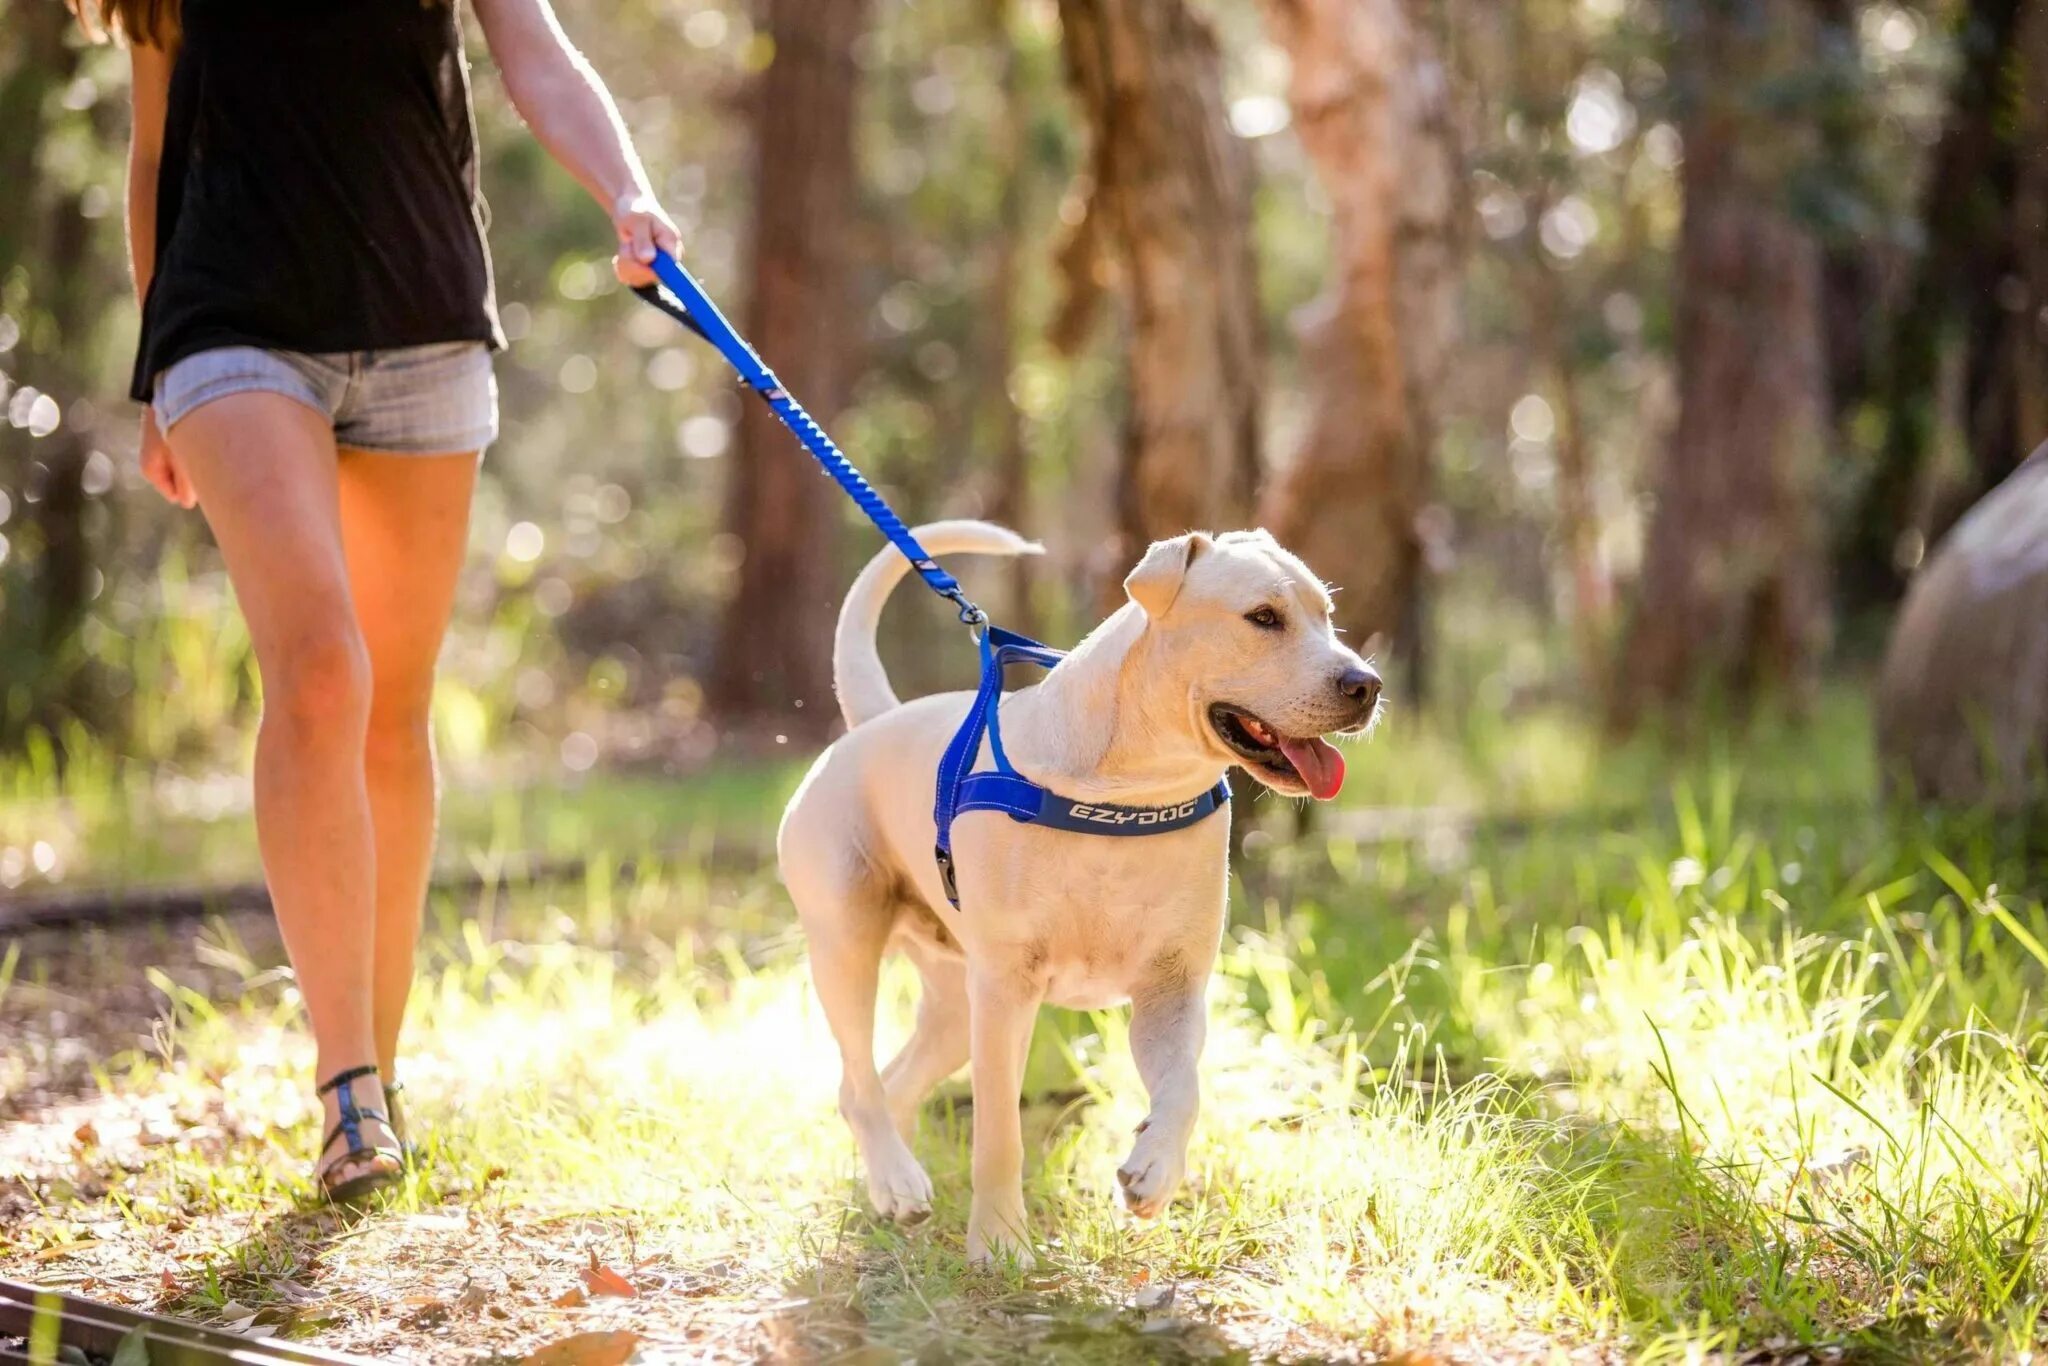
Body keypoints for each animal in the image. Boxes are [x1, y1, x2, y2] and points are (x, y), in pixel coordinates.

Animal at [774, 520, 1384, 1261]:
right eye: (1263, 617)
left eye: (1327, 613)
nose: (1367, 685)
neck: (1130, 793)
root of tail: (871, 724)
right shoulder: (1005, 991)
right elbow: (999, 1133)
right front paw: (999, 1245)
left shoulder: (1172, 990)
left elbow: (1185, 1089)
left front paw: (1153, 1172)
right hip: (848, 945)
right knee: (857, 1078)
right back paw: (896, 1179)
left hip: (951, 1002)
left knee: (891, 1082)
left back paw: (893, 1187)